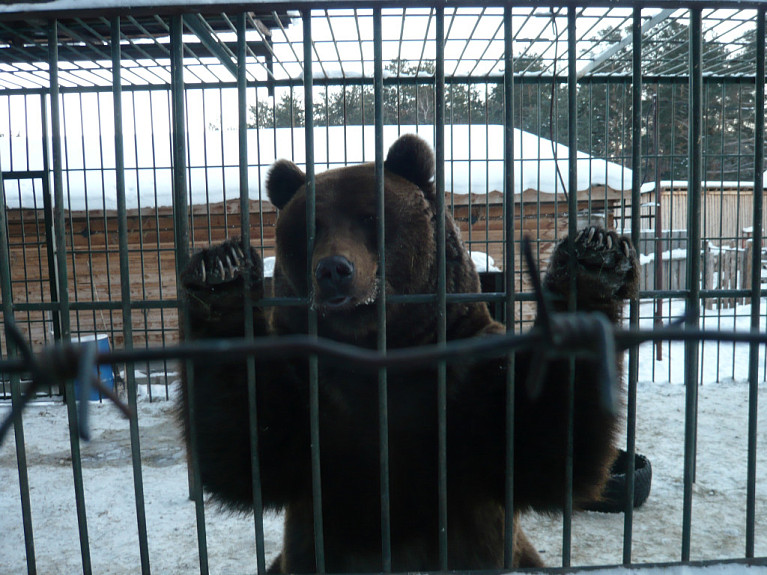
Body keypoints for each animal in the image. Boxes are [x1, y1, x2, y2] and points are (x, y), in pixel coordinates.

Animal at [179, 133, 639, 572]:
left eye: (370, 217)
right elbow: (246, 443)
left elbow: (547, 442)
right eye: (310, 227)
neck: (379, 350)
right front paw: (222, 273)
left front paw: (594, 258)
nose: (333, 270)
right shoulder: (313, 401)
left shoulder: (468, 384)